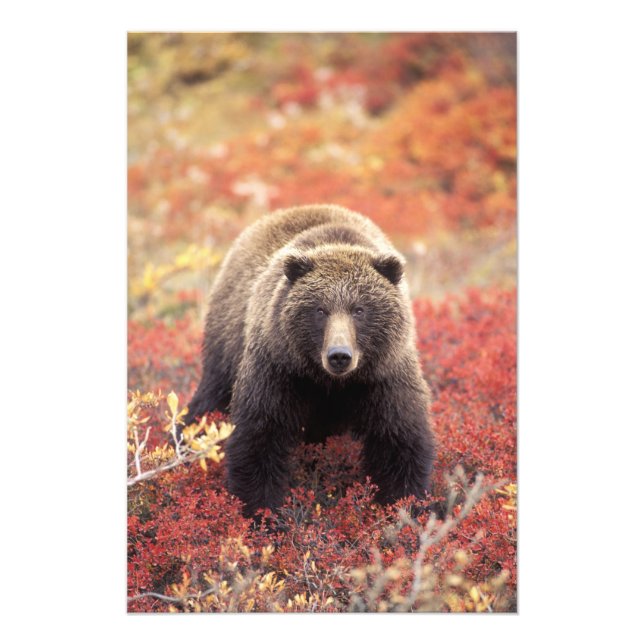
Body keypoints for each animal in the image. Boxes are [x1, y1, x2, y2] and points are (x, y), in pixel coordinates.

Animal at [185, 204, 434, 517]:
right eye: (320, 310)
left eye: (359, 309)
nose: (339, 355)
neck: (330, 383)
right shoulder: (279, 369)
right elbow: (258, 436)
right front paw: (263, 512)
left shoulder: (384, 376)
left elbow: (399, 440)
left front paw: (404, 507)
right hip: (227, 342)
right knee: (210, 398)